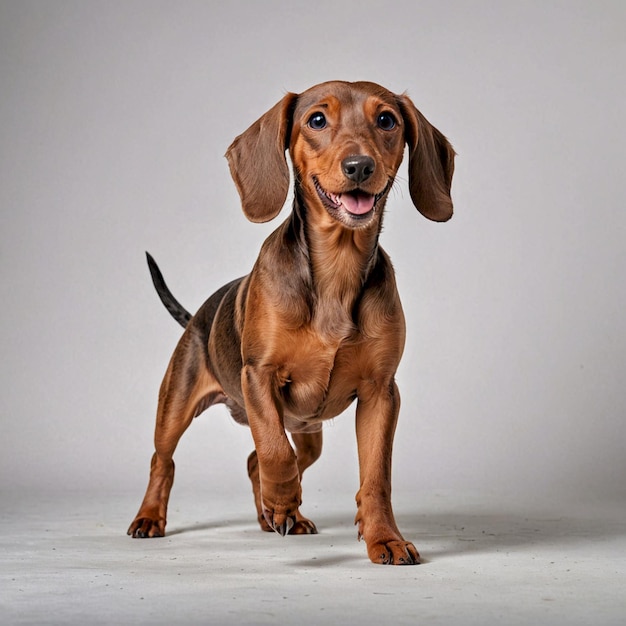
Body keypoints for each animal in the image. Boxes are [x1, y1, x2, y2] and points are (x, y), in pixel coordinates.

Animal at [128, 80, 454, 564]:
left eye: (387, 120)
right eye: (316, 120)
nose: (359, 165)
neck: (337, 269)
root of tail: (197, 316)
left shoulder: (381, 393)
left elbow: (375, 478)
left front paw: (384, 538)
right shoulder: (259, 376)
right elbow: (274, 451)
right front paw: (282, 501)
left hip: (309, 431)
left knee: (255, 462)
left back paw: (274, 516)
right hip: (176, 406)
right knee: (164, 460)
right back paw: (155, 517)